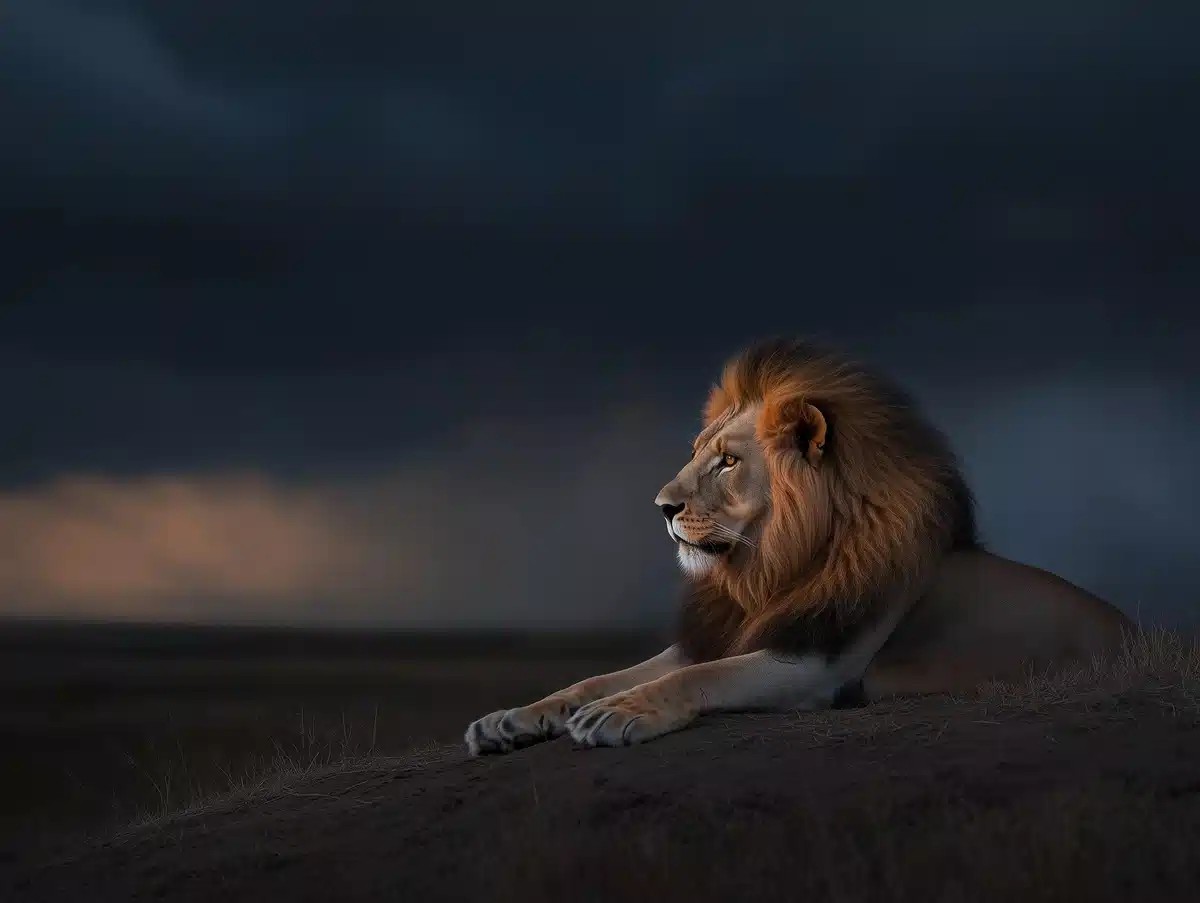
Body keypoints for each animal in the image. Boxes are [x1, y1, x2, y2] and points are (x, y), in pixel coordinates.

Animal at [465, 338, 1131, 754]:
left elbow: (699, 678)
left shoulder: (818, 663)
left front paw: (622, 712)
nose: (662, 507)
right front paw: (510, 720)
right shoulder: (722, 634)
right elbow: (596, 678)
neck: (769, 568)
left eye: (728, 462)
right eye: (697, 453)